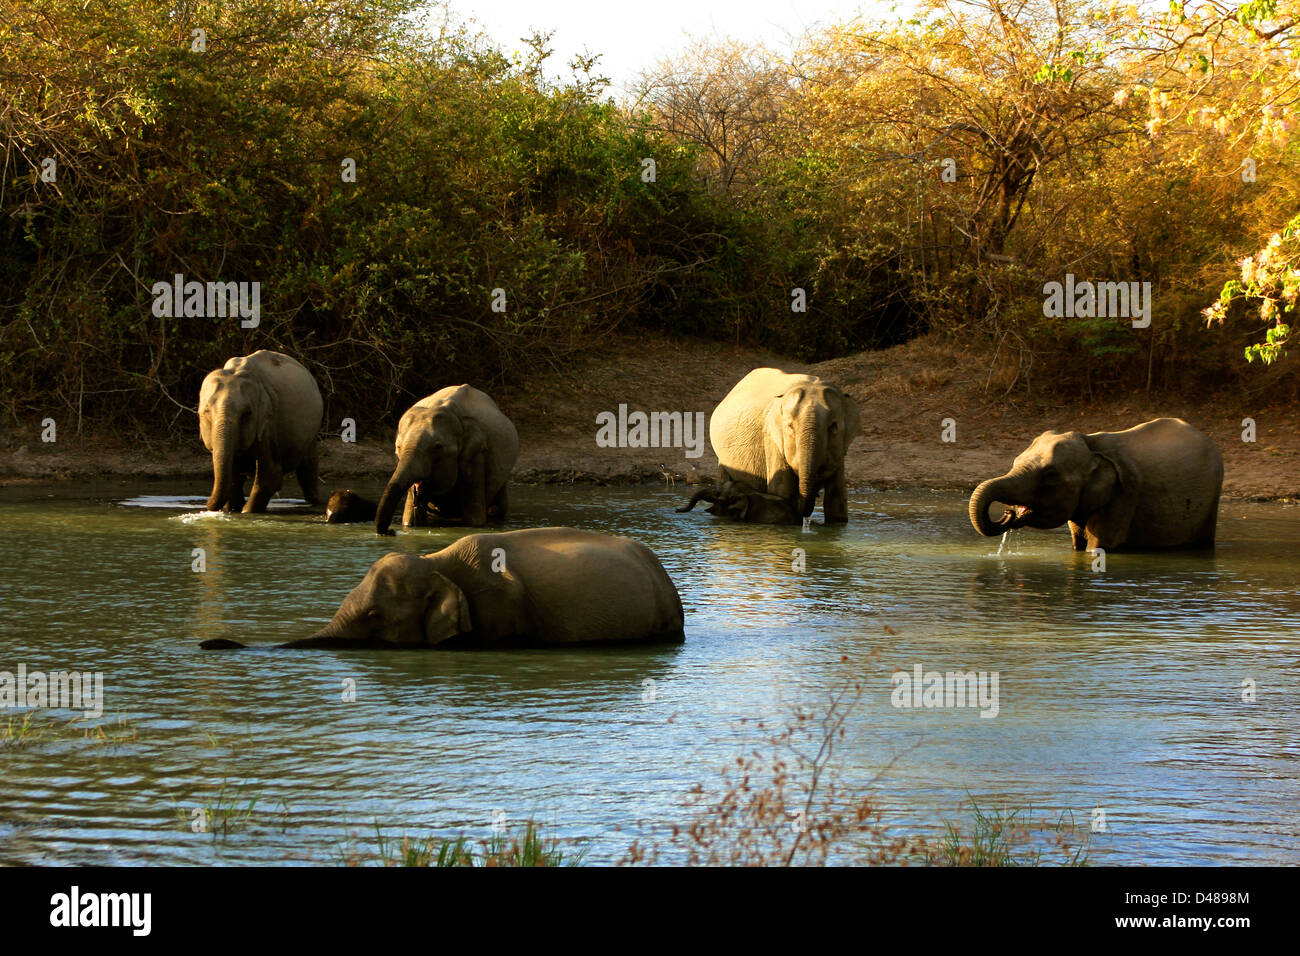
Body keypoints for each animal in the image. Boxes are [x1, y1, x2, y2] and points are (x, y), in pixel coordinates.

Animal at [202, 348, 327, 512]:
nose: (206, 505)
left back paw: (315, 502)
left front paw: (246, 512)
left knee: (308, 468)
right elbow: (234, 476)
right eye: (206, 411)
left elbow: (271, 476)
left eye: (247, 413)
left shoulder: (268, 422)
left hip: (311, 431)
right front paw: (233, 510)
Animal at [374, 382, 514, 535]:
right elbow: (408, 516)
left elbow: (474, 519)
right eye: (398, 447)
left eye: (438, 447)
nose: (391, 531)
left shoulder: (477, 455)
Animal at [972, 418, 1222, 554]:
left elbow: (1099, 546)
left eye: (1050, 475)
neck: (1090, 443)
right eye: (1015, 461)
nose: (1008, 513)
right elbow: (1078, 544)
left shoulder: (1125, 493)